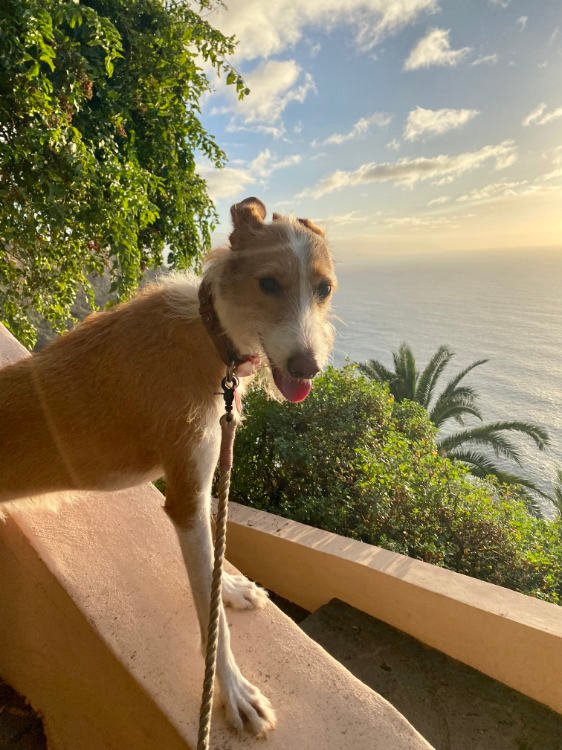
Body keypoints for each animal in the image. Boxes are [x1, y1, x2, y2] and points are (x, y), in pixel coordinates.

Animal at [0, 197, 334, 736]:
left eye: (324, 289)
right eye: (268, 283)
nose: (308, 368)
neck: (210, 334)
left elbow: (217, 570)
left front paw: (232, 587)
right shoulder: (185, 499)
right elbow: (210, 613)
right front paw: (231, 690)